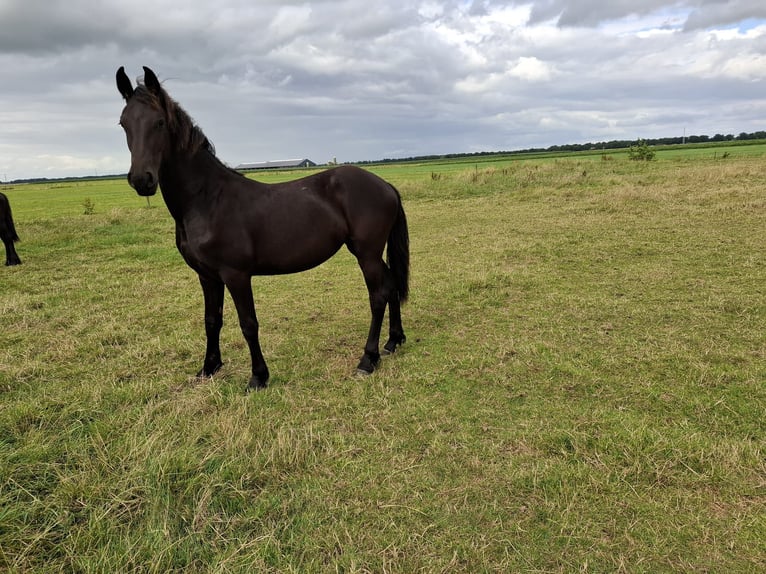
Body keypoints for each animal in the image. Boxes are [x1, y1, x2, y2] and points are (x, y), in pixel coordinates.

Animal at [116, 66, 410, 390]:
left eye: (159, 122)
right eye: (123, 123)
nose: (141, 180)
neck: (208, 199)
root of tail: (384, 185)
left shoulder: (236, 275)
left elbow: (248, 324)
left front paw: (258, 376)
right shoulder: (207, 276)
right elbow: (212, 320)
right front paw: (209, 368)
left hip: (367, 253)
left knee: (378, 295)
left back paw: (368, 359)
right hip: (371, 253)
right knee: (392, 285)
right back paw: (393, 341)